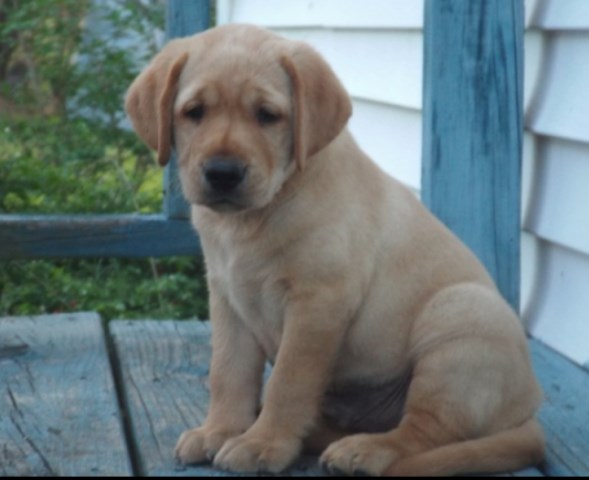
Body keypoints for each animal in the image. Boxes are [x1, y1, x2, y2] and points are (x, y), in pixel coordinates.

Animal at [124, 23, 544, 476]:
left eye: (267, 115)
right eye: (194, 112)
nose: (222, 173)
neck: (257, 215)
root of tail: (528, 412)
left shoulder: (318, 302)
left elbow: (288, 381)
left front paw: (262, 443)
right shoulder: (228, 297)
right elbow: (228, 372)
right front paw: (219, 430)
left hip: (460, 318)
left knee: (421, 431)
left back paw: (363, 451)